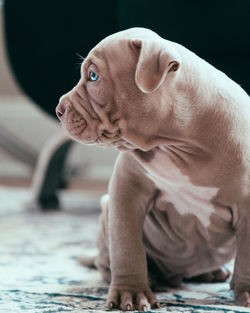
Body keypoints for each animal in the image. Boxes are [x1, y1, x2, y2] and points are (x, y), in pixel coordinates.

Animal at [55, 27, 250, 310]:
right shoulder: (126, 189)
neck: (179, 145)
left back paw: (212, 273)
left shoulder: (247, 205)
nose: (58, 109)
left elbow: (247, 254)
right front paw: (131, 293)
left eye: (93, 76)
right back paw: (153, 278)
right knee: (107, 261)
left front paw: (245, 291)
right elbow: (127, 245)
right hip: (106, 213)